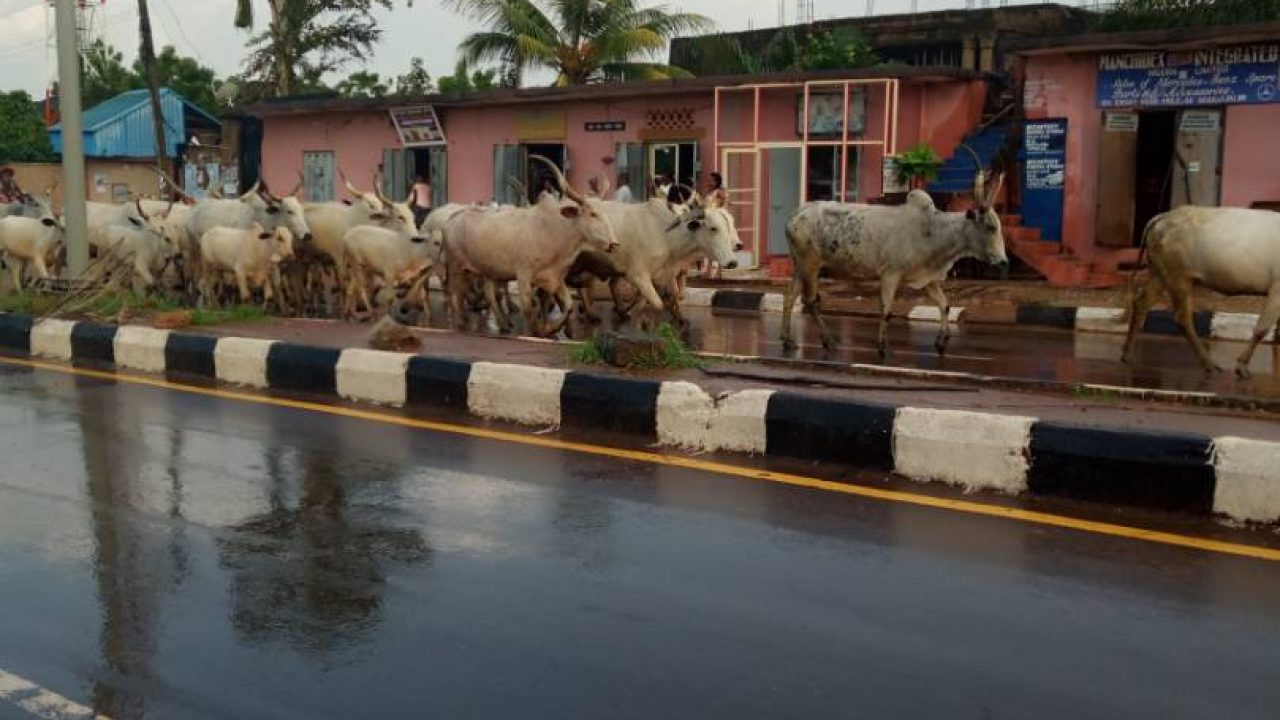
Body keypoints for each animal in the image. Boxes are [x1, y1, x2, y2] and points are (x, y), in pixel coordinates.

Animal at [442, 155, 616, 335]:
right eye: (592, 214)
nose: (613, 243)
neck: (555, 231)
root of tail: (451, 220)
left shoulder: (555, 277)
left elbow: (568, 306)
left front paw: (553, 329)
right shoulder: (524, 276)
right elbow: (529, 310)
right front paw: (540, 331)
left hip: (488, 271)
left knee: (489, 294)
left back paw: (503, 324)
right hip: (456, 266)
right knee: (455, 294)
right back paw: (460, 323)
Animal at [778, 171, 1008, 356]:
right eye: (990, 227)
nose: (1004, 261)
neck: (932, 231)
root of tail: (794, 215)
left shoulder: (927, 279)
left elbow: (945, 305)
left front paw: (942, 342)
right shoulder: (890, 274)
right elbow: (886, 310)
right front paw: (883, 347)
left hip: (800, 266)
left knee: (790, 297)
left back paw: (787, 340)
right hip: (811, 265)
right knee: (811, 301)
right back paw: (827, 340)